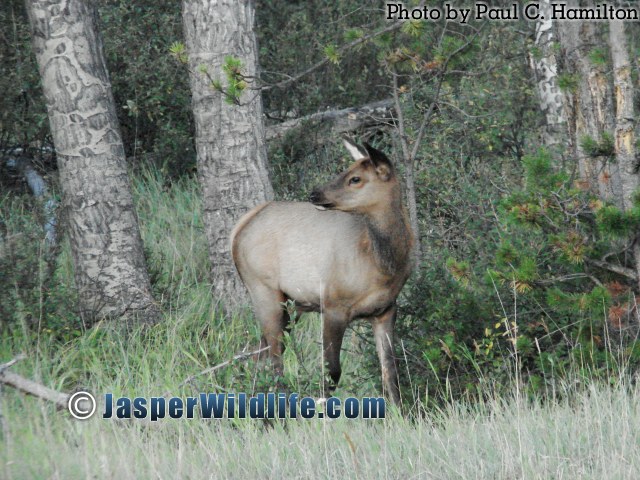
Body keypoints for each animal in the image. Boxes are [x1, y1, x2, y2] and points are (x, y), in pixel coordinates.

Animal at [230, 139, 416, 404]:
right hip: (263, 291)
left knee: (258, 355)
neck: (383, 264)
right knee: (274, 359)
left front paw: (398, 412)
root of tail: (239, 227)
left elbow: (390, 372)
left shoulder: (386, 309)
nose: (314, 193)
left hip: (291, 305)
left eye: (355, 178)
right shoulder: (333, 305)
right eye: (345, 171)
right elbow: (332, 371)